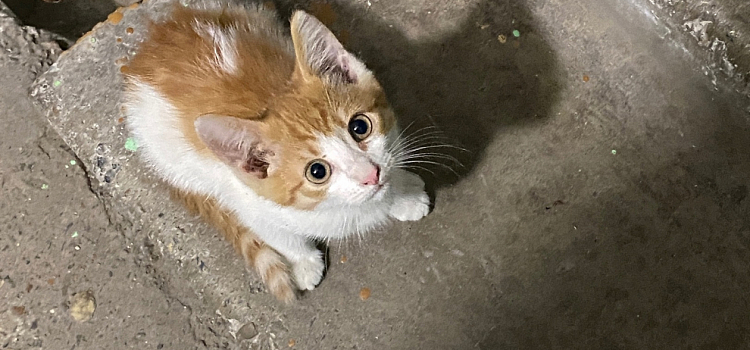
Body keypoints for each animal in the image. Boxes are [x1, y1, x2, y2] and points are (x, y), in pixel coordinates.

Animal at [122, 1, 428, 302]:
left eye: (360, 126)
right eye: (317, 171)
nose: (370, 174)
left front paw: (405, 194)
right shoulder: (249, 203)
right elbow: (282, 237)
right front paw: (304, 263)